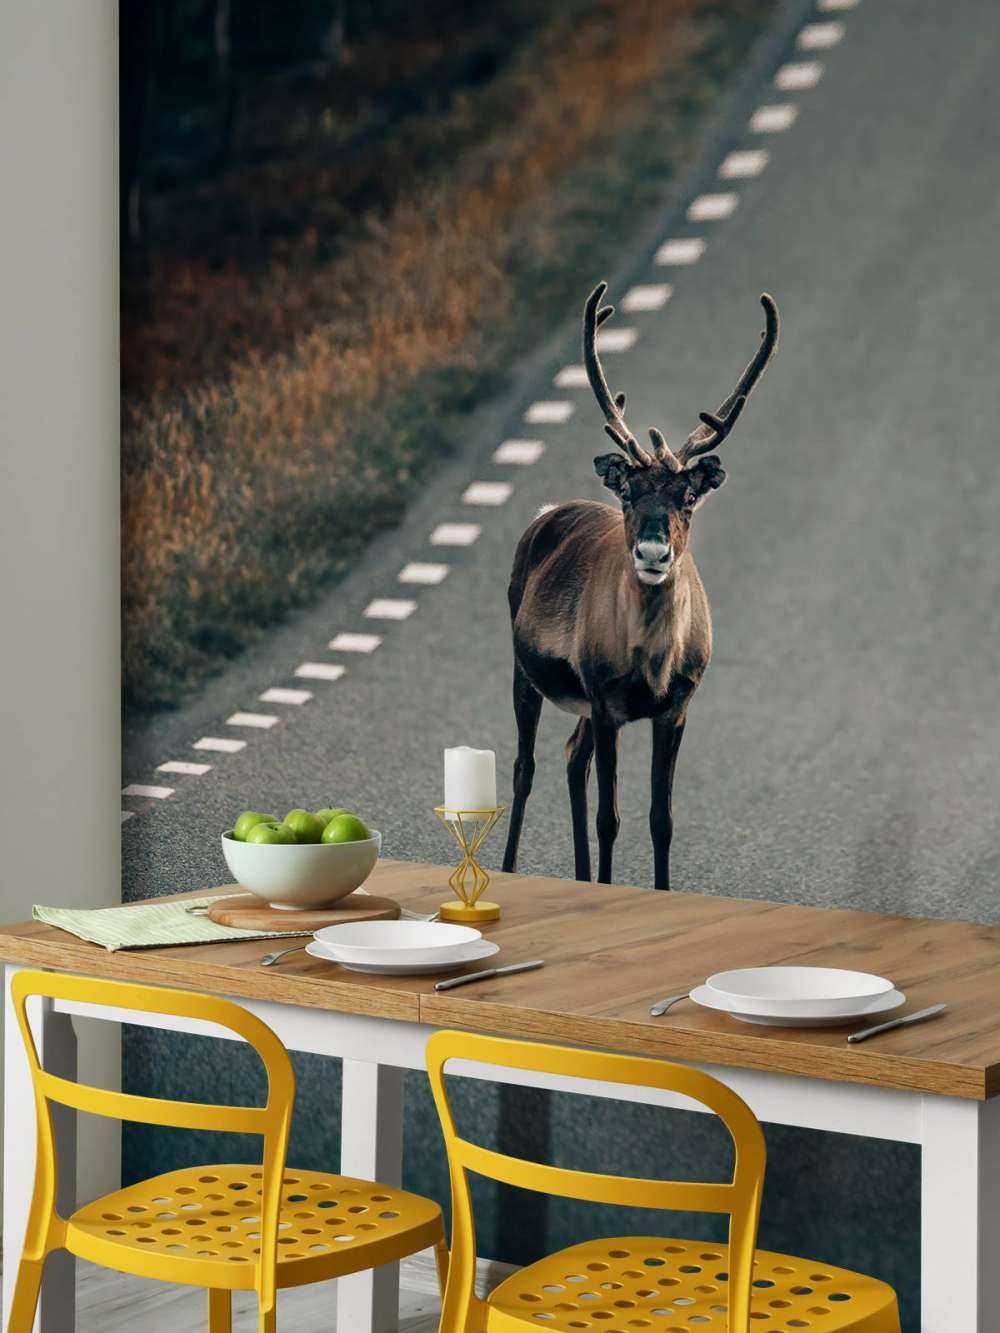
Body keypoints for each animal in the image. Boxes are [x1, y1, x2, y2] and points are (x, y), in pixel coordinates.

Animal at [501, 282, 779, 890]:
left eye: (688, 497)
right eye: (629, 492)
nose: (653, 552)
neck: (653, 662)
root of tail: (545, 514)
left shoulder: (675, 707)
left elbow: (661, 819)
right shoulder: (607, 701)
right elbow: (611, 817)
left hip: (579, 701)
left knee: (571, 758)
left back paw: (581, 877)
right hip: (525, 668)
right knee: (524, 768)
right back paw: (512, 868)